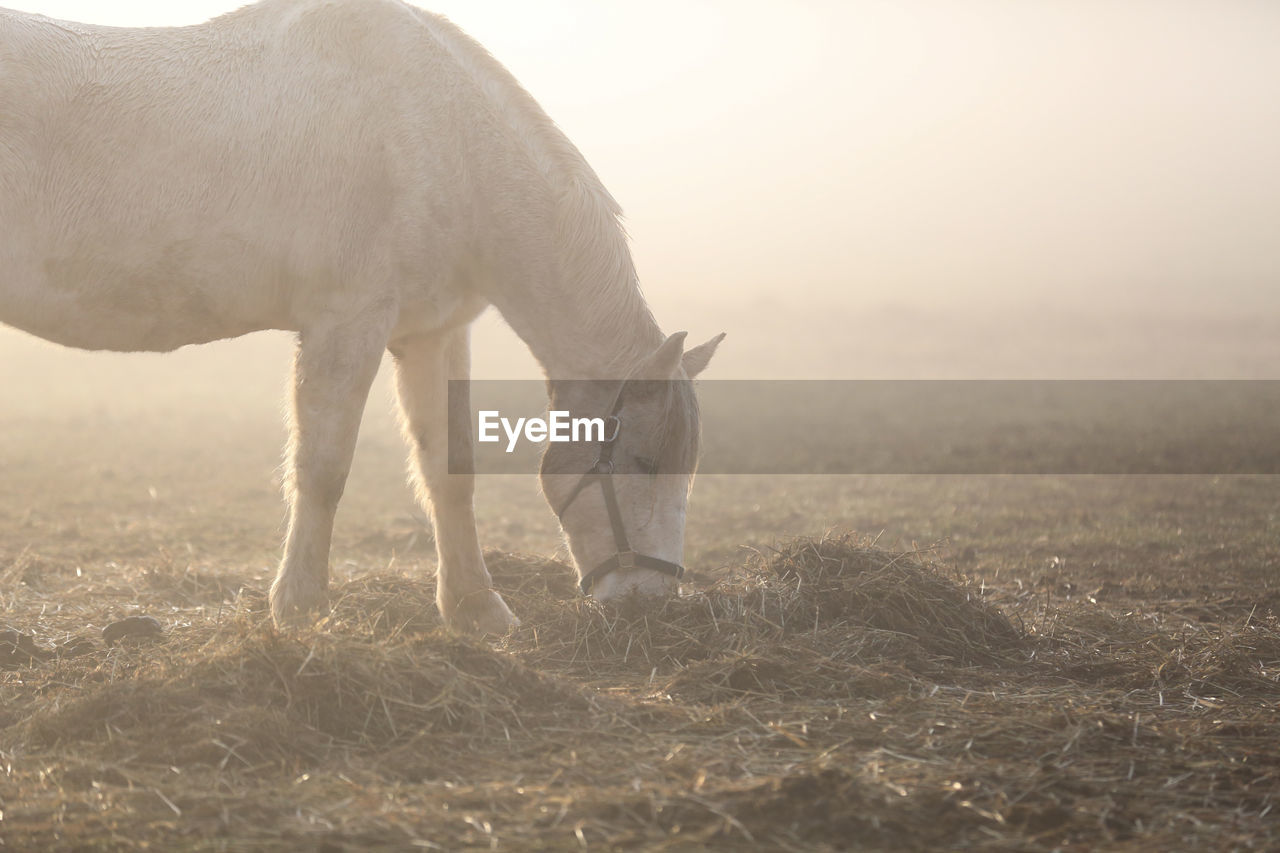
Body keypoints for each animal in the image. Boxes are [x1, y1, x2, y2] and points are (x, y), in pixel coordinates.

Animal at [0, 0, 721, 630]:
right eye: (644, 460)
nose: (648, 602)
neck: (438, 134)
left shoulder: (433, 333)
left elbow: (449, 469)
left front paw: (476, 608)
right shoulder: (347, 321)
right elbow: (322, 469)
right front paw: (300, 607)